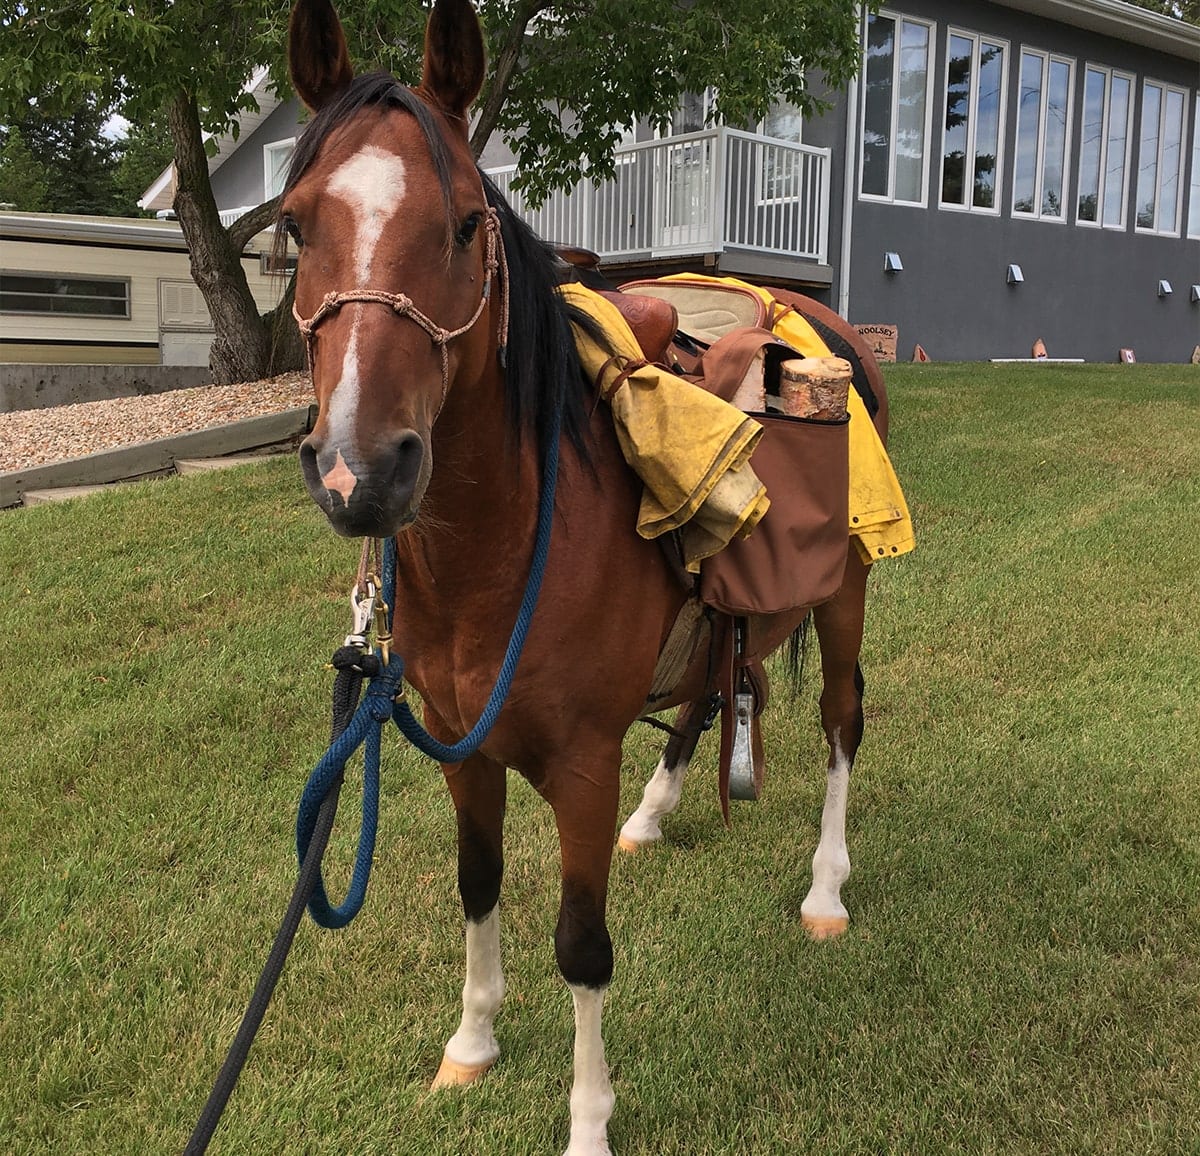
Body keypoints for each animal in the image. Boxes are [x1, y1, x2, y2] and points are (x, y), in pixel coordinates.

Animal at [283, 1, 887, 1151]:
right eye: (295, 227)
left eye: (463, 223)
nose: (360, 471)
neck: (503, 555)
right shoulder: (460, 750)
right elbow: (477, 887)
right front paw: (472, 1044)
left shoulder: (579, 765)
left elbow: (581, 945)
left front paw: (589, 1123)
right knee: (711, 691)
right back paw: (657, 812)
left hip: (844, 598)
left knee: (841, 724)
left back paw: (828, 891)